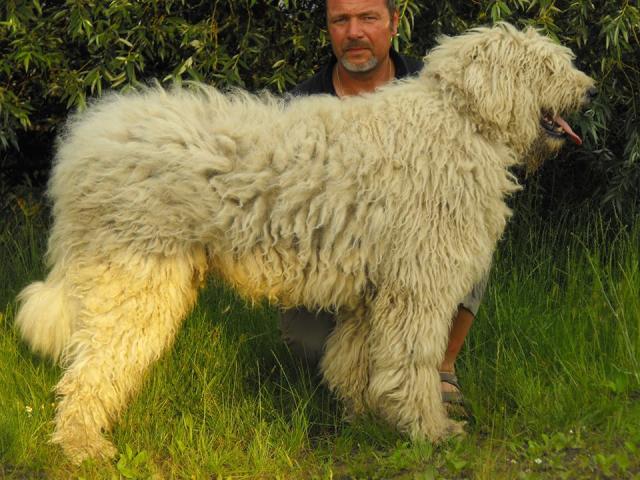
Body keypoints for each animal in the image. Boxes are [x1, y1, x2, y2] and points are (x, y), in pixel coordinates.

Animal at [15, 23, 595, 463]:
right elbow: (410, 362)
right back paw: (83, 445)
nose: (590, 91)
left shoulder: (374, 290)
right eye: (547, 67)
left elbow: (359, 362)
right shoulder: (418, 284)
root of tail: (81, 147)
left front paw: (366, 418)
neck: (460, 121)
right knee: (93, 365)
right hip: (133, 274)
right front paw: (430, 430)